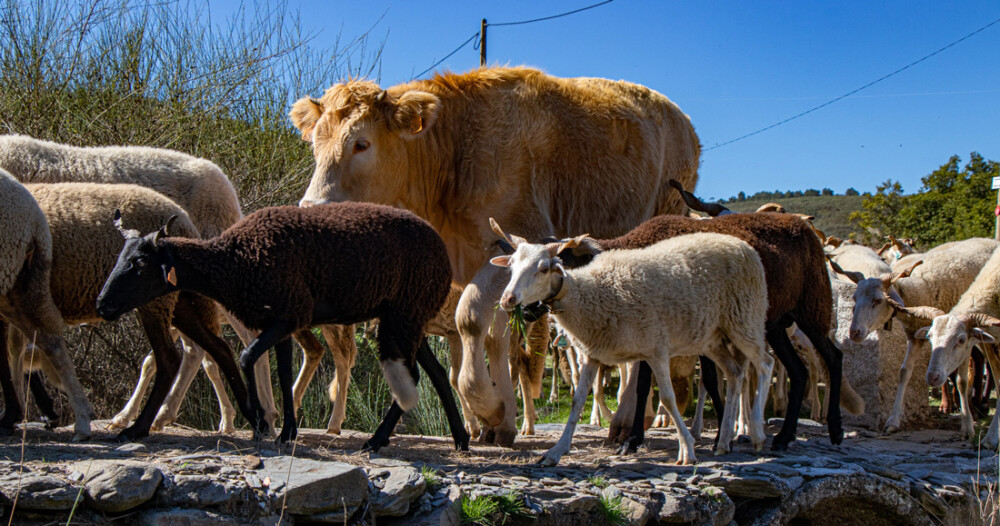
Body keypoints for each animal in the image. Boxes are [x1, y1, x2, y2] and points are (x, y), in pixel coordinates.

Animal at [95, 200, 470, 452]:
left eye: (139, 264)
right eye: (119, 258)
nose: (102, 305)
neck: (232, 261)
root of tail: (442, 252)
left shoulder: (290, 314)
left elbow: (247, 358)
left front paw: (261, 422)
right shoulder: (280, 320)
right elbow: (285, 369)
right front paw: (286, 430)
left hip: (405, 313)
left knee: (417, 374)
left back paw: (377, 440)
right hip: (411, 316)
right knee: (435, 372)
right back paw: (460, 439)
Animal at [288, 66, 696, 446]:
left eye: (361, 143)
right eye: (314, 145)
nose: (310, 210)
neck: (454, 153)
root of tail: (681, 118)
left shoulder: (520, 245)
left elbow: (469, 318)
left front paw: (489, 406)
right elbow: (494, 338)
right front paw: (502, 422)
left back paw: (629, 420)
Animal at [492, 232, 772, 466]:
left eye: (543, 268)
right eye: (511, 266)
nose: (507, 299)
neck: (588, 294)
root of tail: (742, 244)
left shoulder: (656, 349)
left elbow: (668, 399)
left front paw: (687, 449)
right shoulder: (593, 354)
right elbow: (577, 401)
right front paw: (556, 451)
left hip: (745, 319)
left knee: (764, 364)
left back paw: (757, 433)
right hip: (714, 337)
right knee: (735, 373)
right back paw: (724, 442)